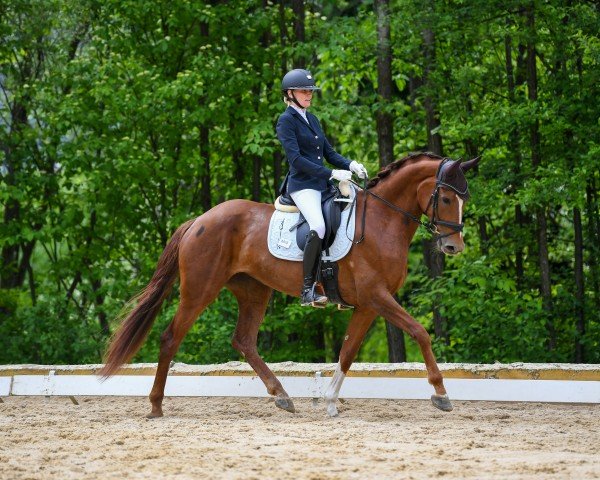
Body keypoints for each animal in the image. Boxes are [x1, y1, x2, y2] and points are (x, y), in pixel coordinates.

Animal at [101, 153, 480, 416]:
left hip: (254, 291)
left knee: (244, 340)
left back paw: (282, 396)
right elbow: (420, 332)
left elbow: (347, 351)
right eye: (447, 198)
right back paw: (155, 406)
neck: (382, 222)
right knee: (170, 338)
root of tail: (198, 221)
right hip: (200, 290)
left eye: (465, 198)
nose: (454, 247)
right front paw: (441, 394)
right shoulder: (378, 297)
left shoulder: (368, 304)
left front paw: (330, 401)